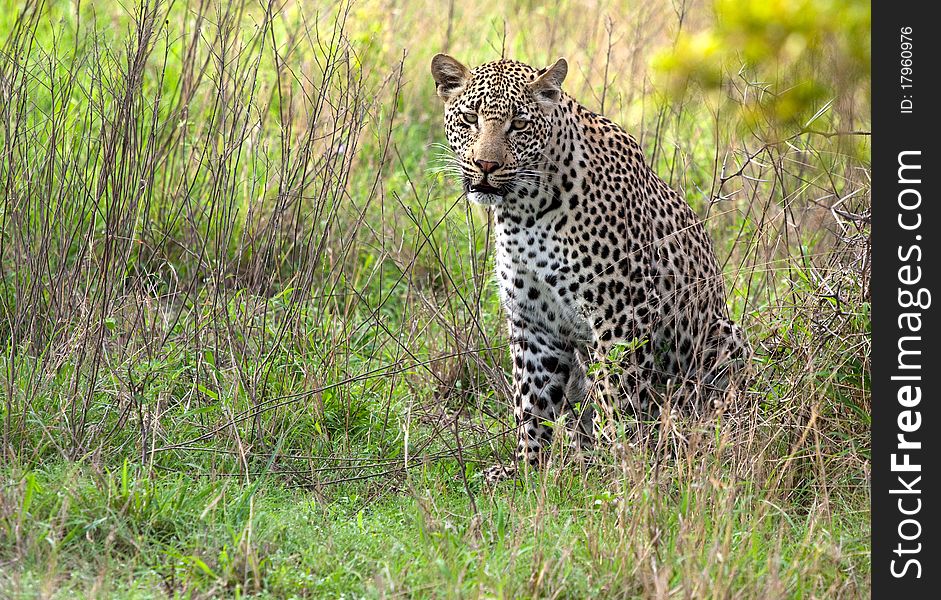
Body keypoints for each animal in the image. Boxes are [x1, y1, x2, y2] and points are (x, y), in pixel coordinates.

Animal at [428, 54, 748, 480]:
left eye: (519, 124)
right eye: (469, 118)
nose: (486, 165)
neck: (525, 210)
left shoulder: (619, 314)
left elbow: (617, 393)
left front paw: (623, 464)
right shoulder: (533, 321)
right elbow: (530, 399)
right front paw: (527, 468)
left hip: (725, 337)